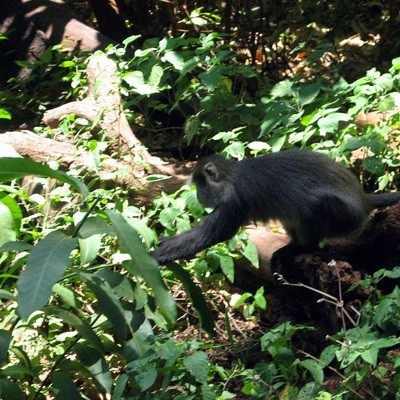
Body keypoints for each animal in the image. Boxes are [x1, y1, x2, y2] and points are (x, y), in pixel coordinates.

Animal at [152, 148, 398, 264]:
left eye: (201, 187)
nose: (200, 196)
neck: (230, 177)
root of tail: (363, 199)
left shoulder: (234, 201)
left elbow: (211, 236)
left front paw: (154, 256)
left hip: (342, 215)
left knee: (315, 206)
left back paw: (304, 248)